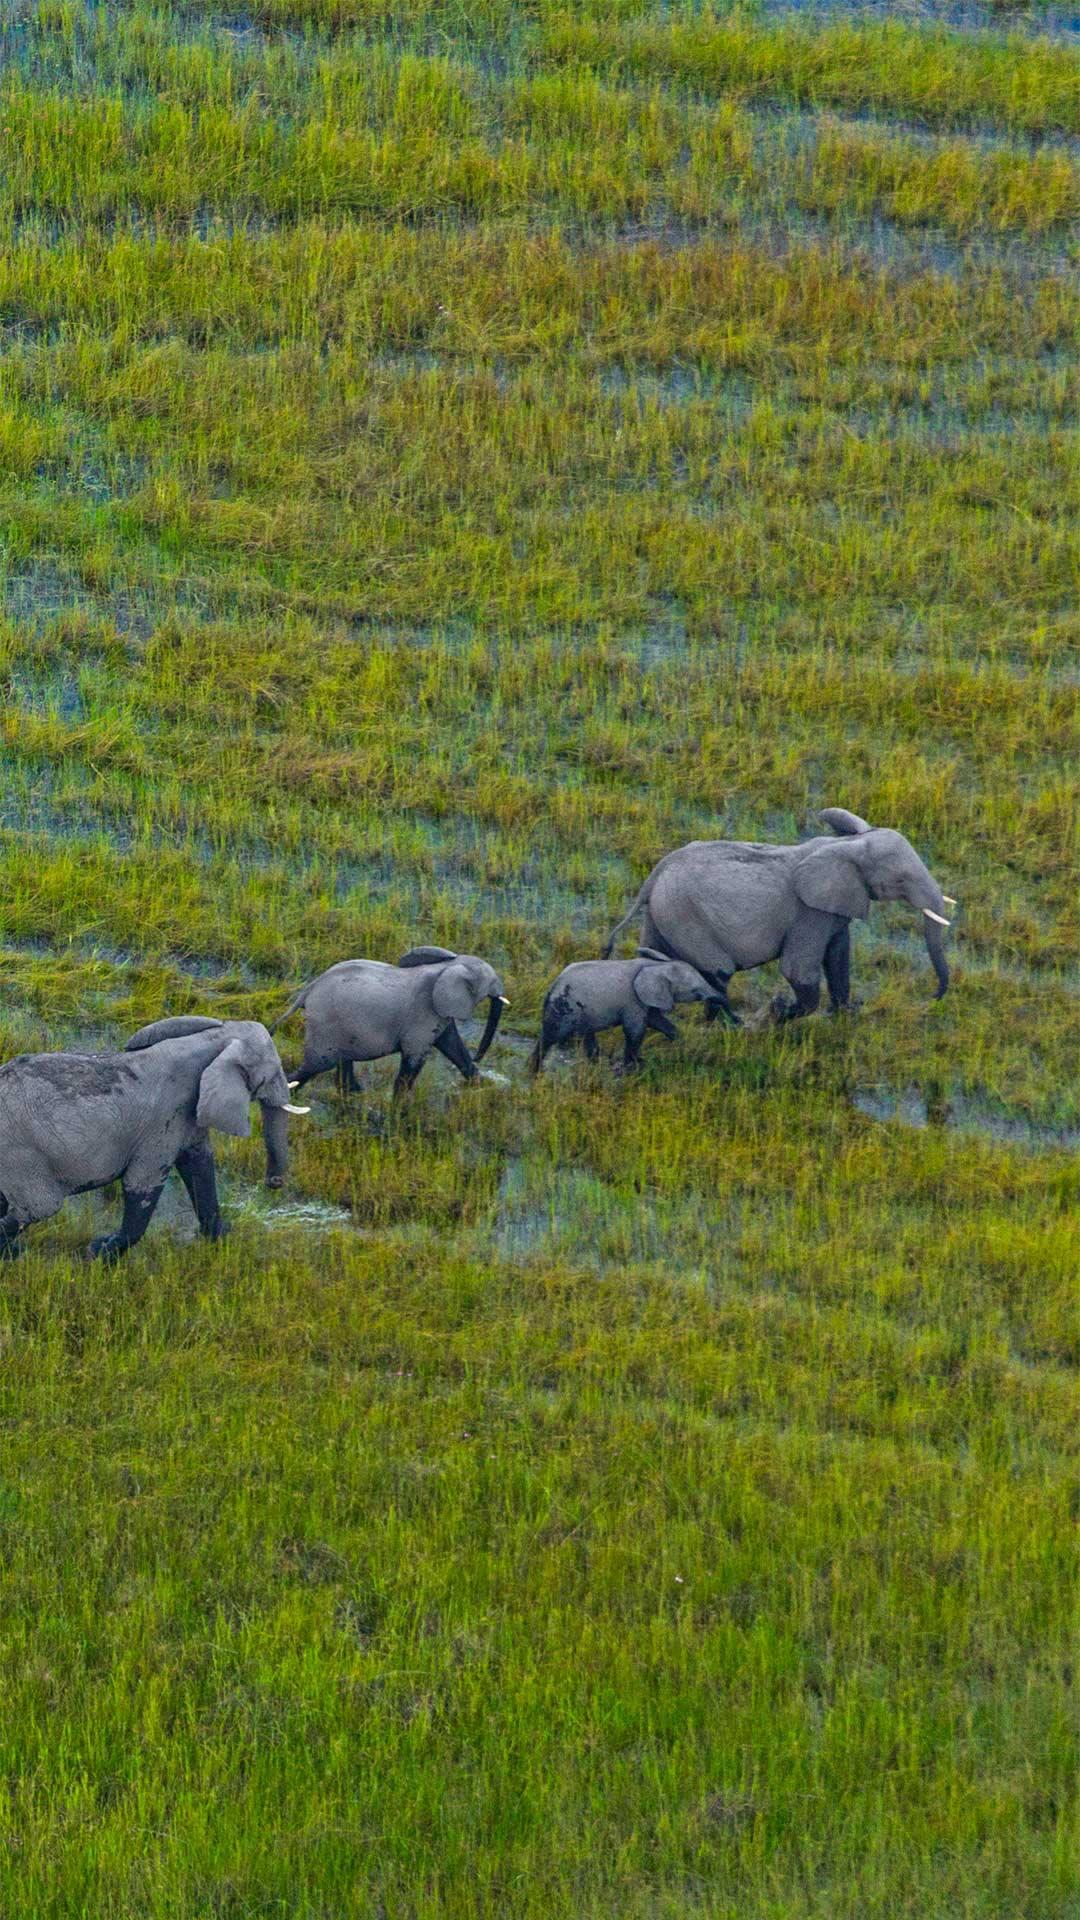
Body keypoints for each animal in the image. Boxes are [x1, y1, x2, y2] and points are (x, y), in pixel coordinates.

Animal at [0, 1021, 307, 1259]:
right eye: (272, 1073)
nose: (274, 1182)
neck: (216, 1036)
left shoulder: (187, 1115)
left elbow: (200, 1167)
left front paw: (221, 1238)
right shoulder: (162, 1123)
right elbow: (143, 1183)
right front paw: (98, 1253)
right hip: (21, 1155)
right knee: (39, 1208)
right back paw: (14, 1255)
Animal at [267, 944, 507, 1098]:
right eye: (492, 982)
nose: (479, 1056)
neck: (446, 967)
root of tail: (308, 990)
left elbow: (453, 1047)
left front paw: (484, 1086)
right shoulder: (422, 1015)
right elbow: (414, 1060)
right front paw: (399, 1108)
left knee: (340, 1060)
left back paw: (355, 1093)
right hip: (325, 1024)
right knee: (316, 1065)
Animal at [526, 948, 714, 1075]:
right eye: (695, 991)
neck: (657, 965)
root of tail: (552, 986)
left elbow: (656, 1020)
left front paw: (681, 1043)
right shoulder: (632, 1000)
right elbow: (635, 1030)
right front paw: (633, 1067)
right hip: (565, 1006)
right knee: (551, 1036)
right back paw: (534, 1070)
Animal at [599, 806, 953, 1021]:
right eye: (900, 879)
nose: (932, 998)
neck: (846, 844)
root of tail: (654, 875)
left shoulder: (831, 909)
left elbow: (839, 955)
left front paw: (846, 1013)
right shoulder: (808, 912)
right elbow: (799, 970)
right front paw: (781, 1014)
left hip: (663, 912)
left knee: (654, 955)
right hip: (685, 915)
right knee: (718, 971)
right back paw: (728, 1026)